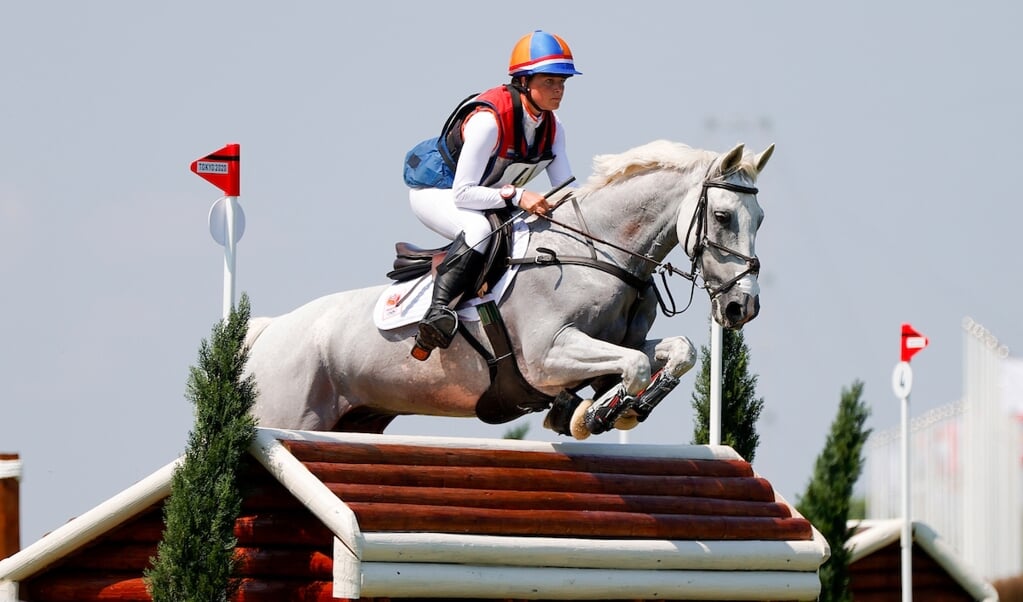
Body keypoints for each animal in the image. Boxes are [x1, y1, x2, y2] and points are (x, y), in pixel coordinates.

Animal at [245, 143, 773, 440]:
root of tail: (270, 332)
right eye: (723, 216)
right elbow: (635, 366)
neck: (596, 253)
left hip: (356, 418)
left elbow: (675, 352)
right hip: (290, 415)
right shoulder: (547, 357)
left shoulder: (618, 343)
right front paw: (596, 414)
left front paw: (621, 407)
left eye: (761, 219)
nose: (741, 307)